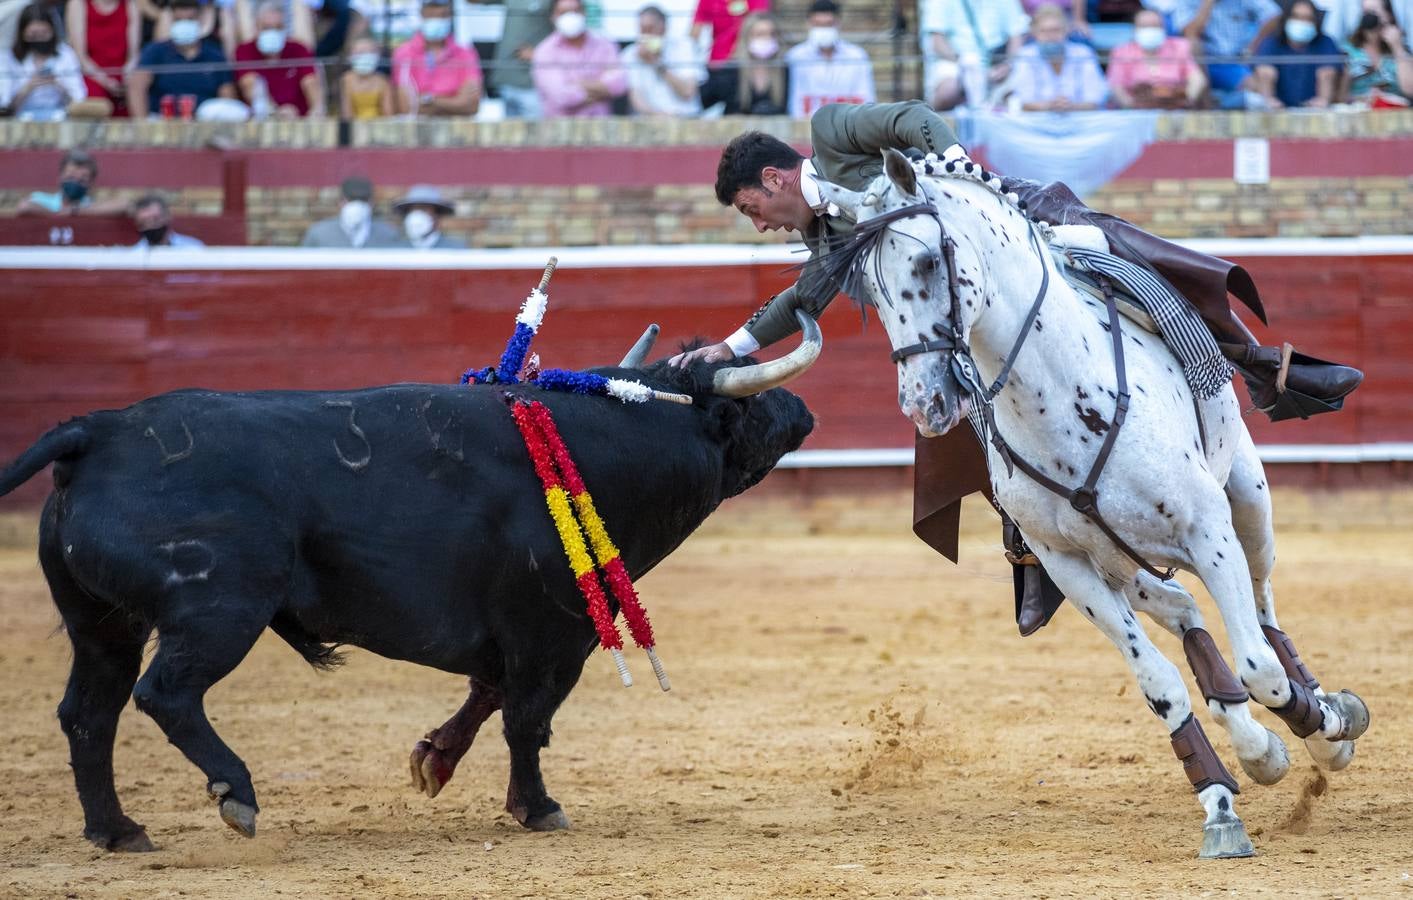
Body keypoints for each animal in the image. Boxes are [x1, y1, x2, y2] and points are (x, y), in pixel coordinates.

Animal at [0, 354, 813, 847]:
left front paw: (434, 762)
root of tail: (98, 431)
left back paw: (116, 830)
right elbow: (527, 721)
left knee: (89, 714)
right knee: (165, 695)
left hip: (103, 624)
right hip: (218, 611)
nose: (802, 408)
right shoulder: (550, 630)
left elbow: (488, 697)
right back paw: (238, 794)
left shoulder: (514, 637)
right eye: (745, 407)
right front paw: (538, 808)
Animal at [813, 149, 1373, 859]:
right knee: (1185, 612)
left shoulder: (1208, 531)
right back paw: (1256, 743)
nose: (923, 403)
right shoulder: (1069, 566)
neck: (1057, 393)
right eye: (869, 288)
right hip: (1123, 564)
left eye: (926, 262)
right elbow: (1161, 685)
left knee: (1266, 611)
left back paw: (1326, 720)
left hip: (1248, 498)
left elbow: (1259, 668)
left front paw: (1318, 730)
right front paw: (1222, 804)